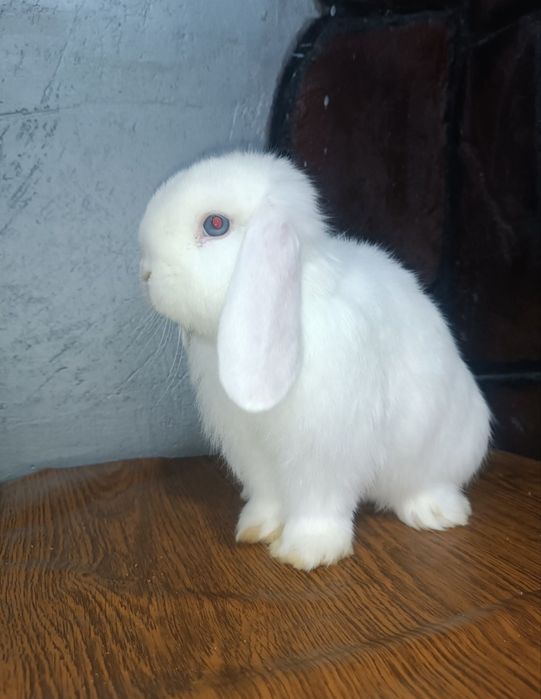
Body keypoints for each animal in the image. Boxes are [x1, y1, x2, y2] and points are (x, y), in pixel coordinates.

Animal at [139, 150, 491, 571]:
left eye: (215, 224)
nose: (145, 273)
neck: (299, 303)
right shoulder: (254, 452)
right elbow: (268, 496)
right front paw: (256, 529)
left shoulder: (324, 449)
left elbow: (318, 503)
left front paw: (305, 553)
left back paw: (435, 513)